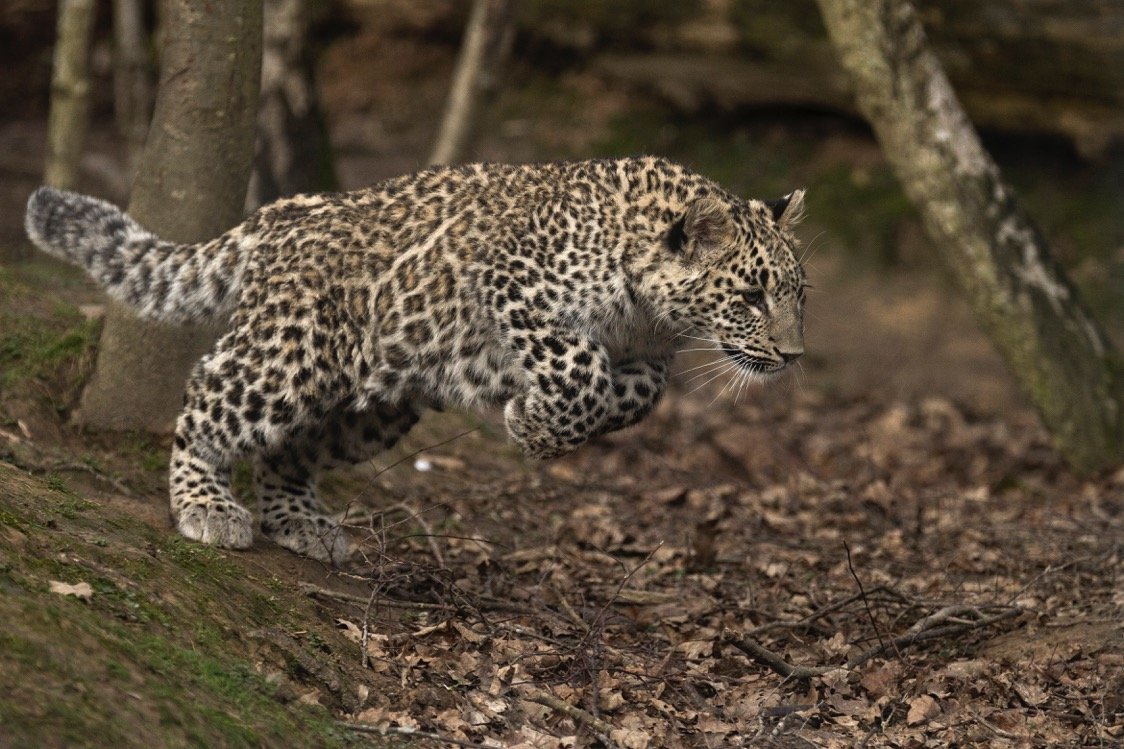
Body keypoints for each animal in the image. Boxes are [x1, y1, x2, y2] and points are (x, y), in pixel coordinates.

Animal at [21, 158, 804, 566]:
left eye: (797, 296)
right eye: (752, 295)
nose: (793, 354)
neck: (647, 313)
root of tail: (282, 211)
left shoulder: (647, 356)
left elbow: (630, 396)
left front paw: (541, 424)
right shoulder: (510, 281)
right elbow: (577, 367)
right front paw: (528, 419)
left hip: (373, 406)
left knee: (291, 451)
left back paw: (299, 520)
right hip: (290, 355)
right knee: (208, 393)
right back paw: (205, 504)